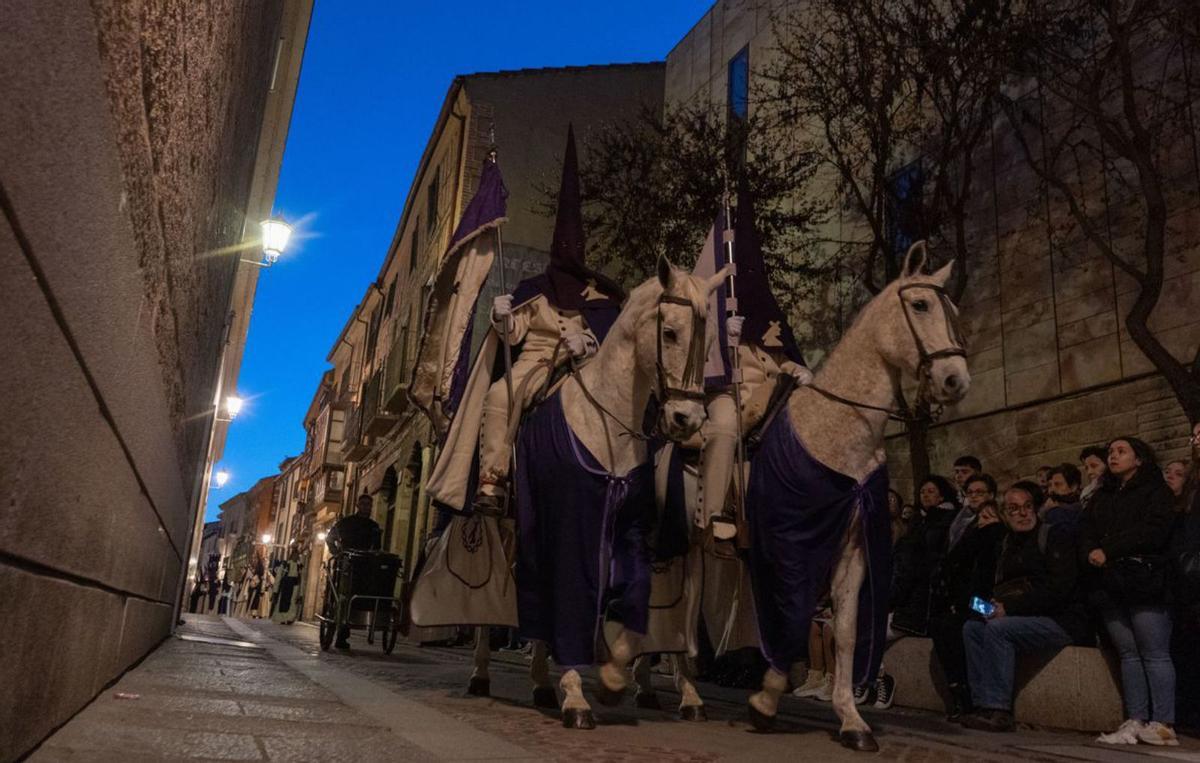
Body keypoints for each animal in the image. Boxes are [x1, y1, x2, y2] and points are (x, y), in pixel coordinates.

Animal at [465, 257, 720, 729]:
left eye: (709, 339)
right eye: (670, 332)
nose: (688, 420)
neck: (604, 420)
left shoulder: (635, 532)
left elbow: (635, 602)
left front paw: (614, 679)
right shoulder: (571, 523)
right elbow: (573, 596)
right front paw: (578, 696)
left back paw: (543, 684)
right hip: (509, 524)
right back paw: (483, 674)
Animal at [744, 245, 969, 753]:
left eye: (954, 309)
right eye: (920, 305)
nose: (955, 380)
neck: (834, 429)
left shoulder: (851, 548)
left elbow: (845, 632)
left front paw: (851, 719)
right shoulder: (790, 545)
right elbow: (793, 614)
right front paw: (765, 700)